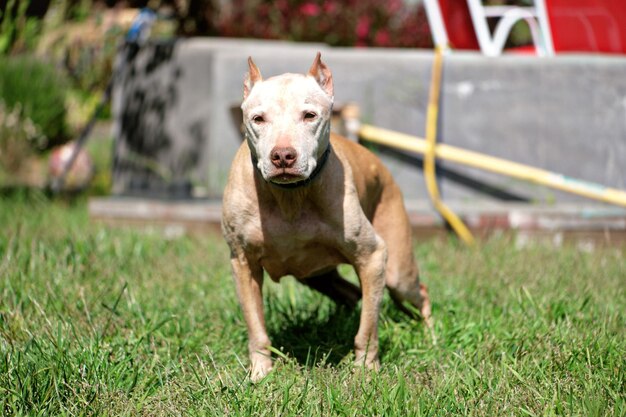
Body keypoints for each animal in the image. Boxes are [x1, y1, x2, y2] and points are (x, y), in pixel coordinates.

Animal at [219, 52, 428, 380]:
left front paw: (366, 370)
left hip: (397, 271)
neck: (290, 196)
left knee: (417, 291)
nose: (282, 156)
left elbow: (368, 328)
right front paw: (260, 373)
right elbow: (256, 326)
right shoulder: (243, 263)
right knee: (352, 293)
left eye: (309, 115)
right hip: (316, 275)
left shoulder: (372, 257)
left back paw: (431, 337)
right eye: (258, 119)